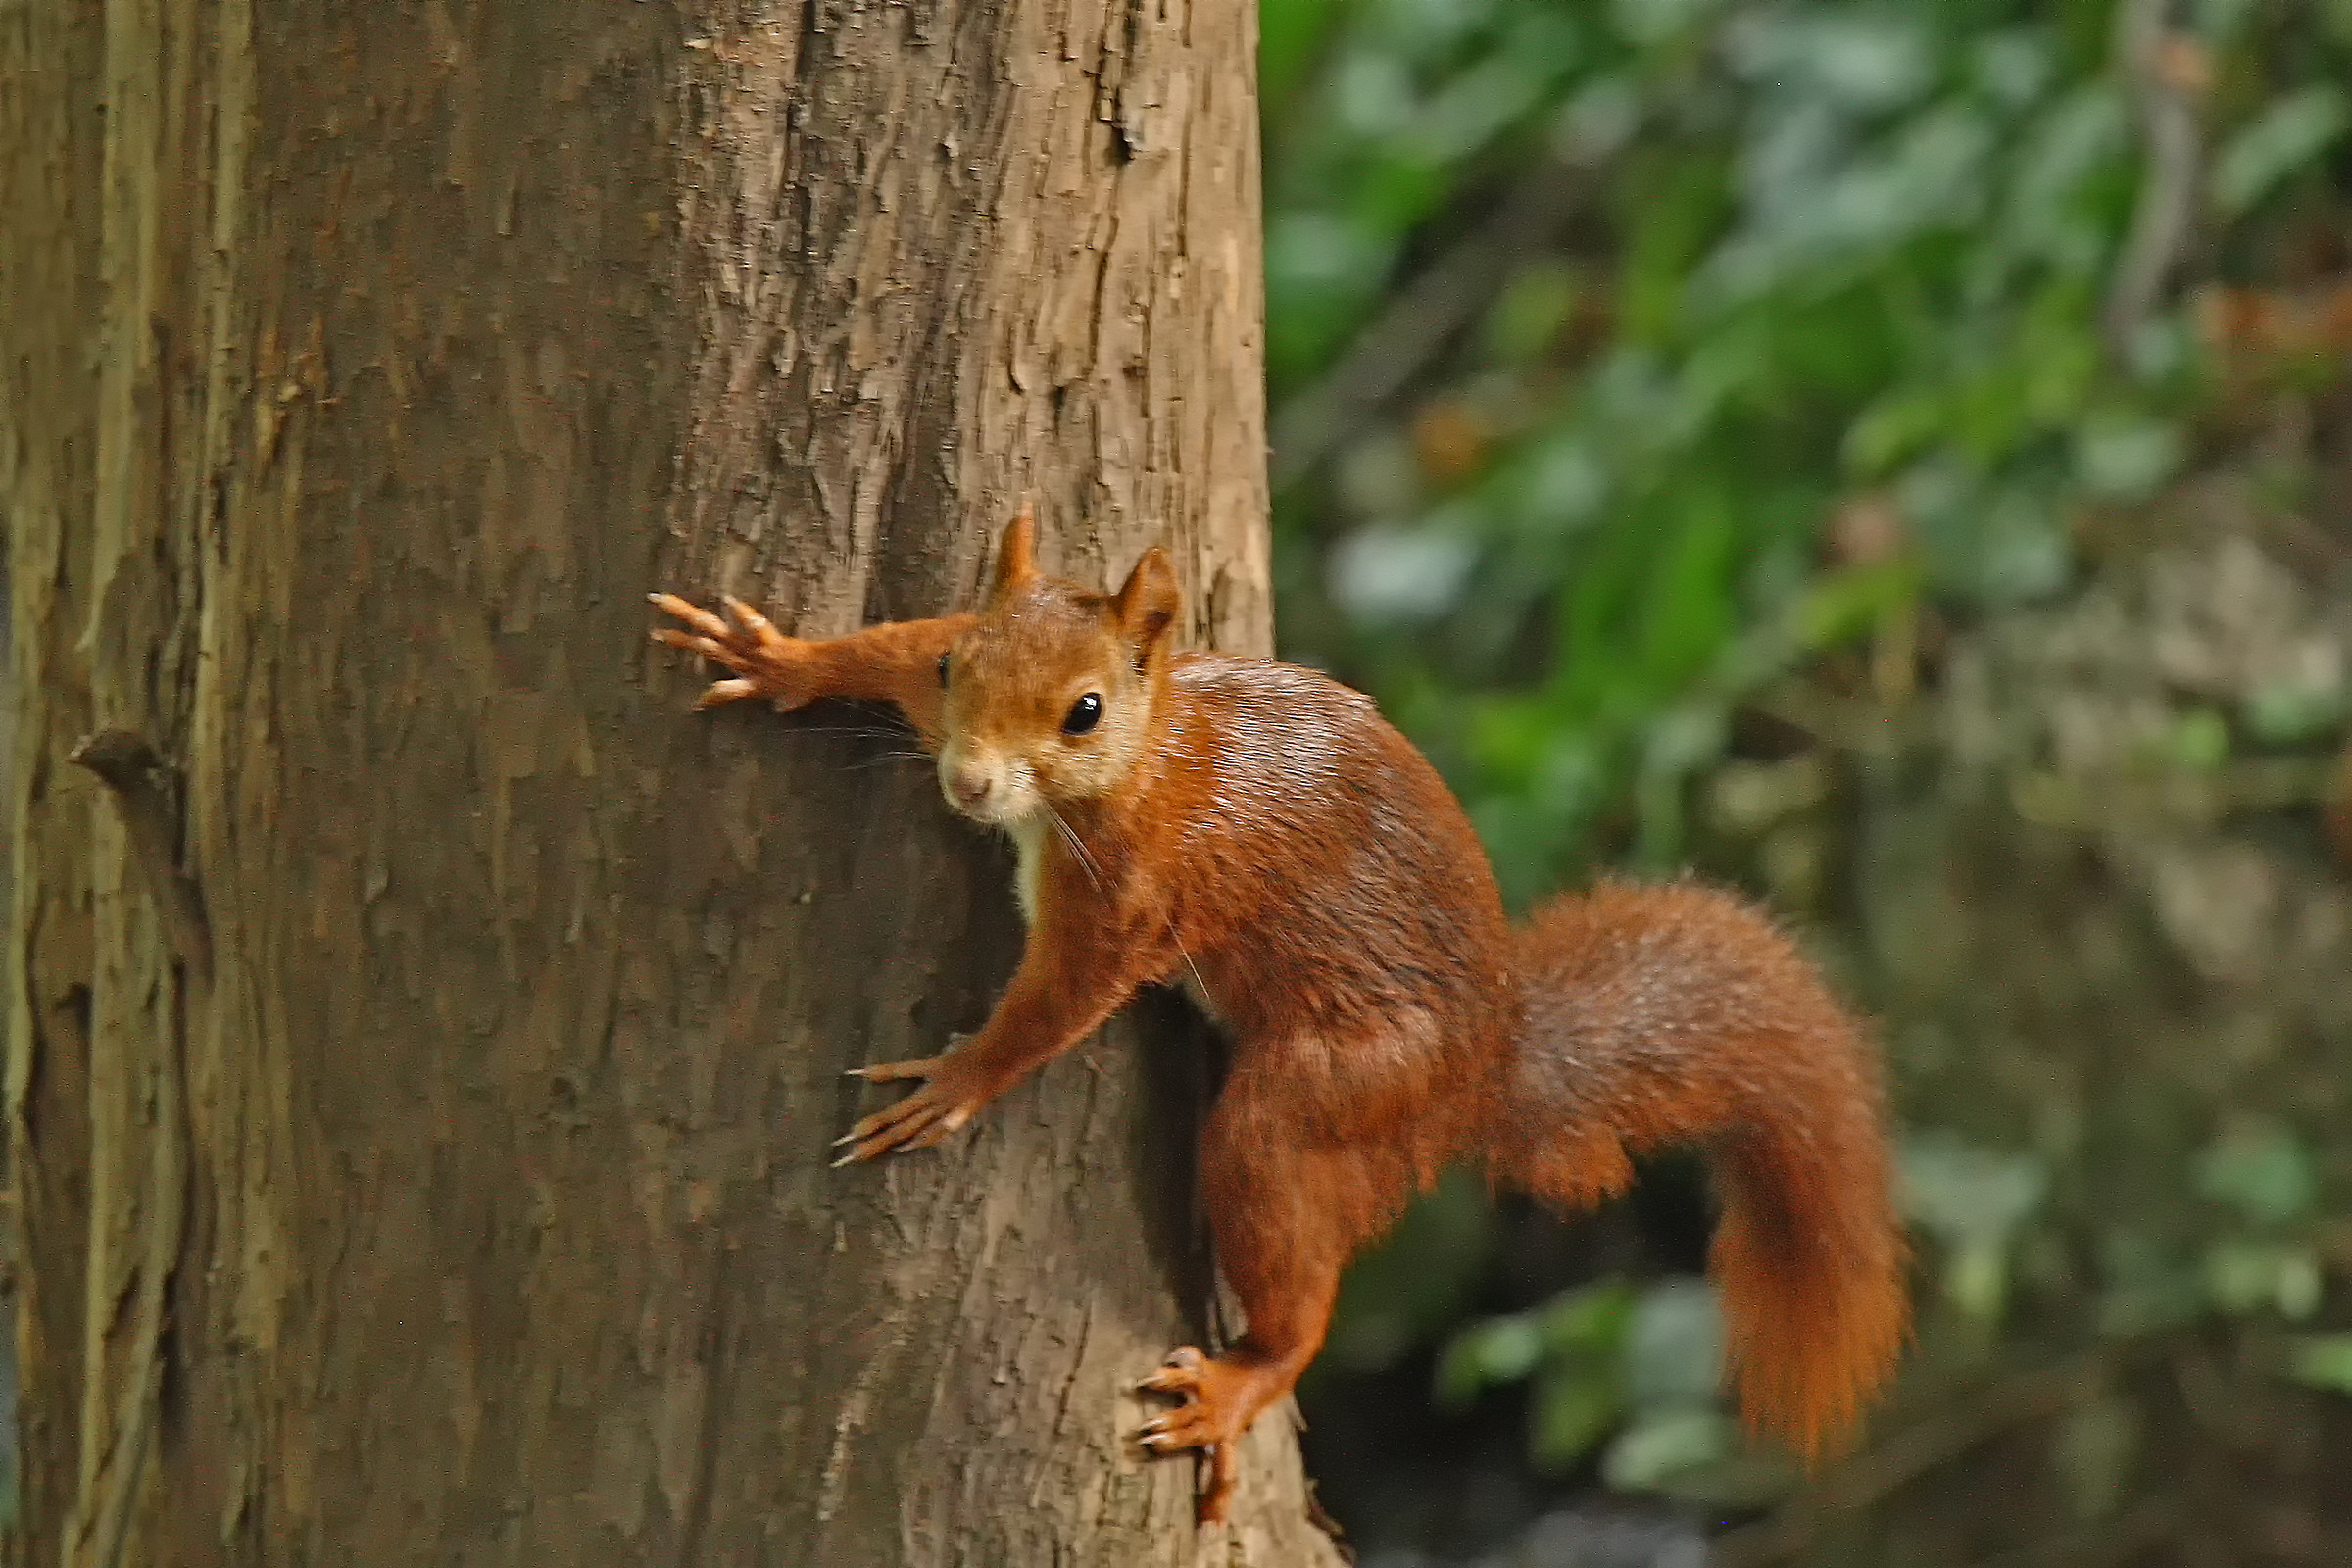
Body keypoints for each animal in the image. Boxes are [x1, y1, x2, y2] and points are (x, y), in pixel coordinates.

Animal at [651, 506, 1908, 1525]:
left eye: (1085, 711)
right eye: (961, 665)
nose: (966, 783)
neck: (1145, 763)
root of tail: (1489, 1063)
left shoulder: (1128, 901)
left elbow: (1055, 1007)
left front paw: (956, 1082)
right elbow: (890, 648)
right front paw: (782, 656)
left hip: (1330, 1091)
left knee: (1292, 1250)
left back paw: (1242, 1379)